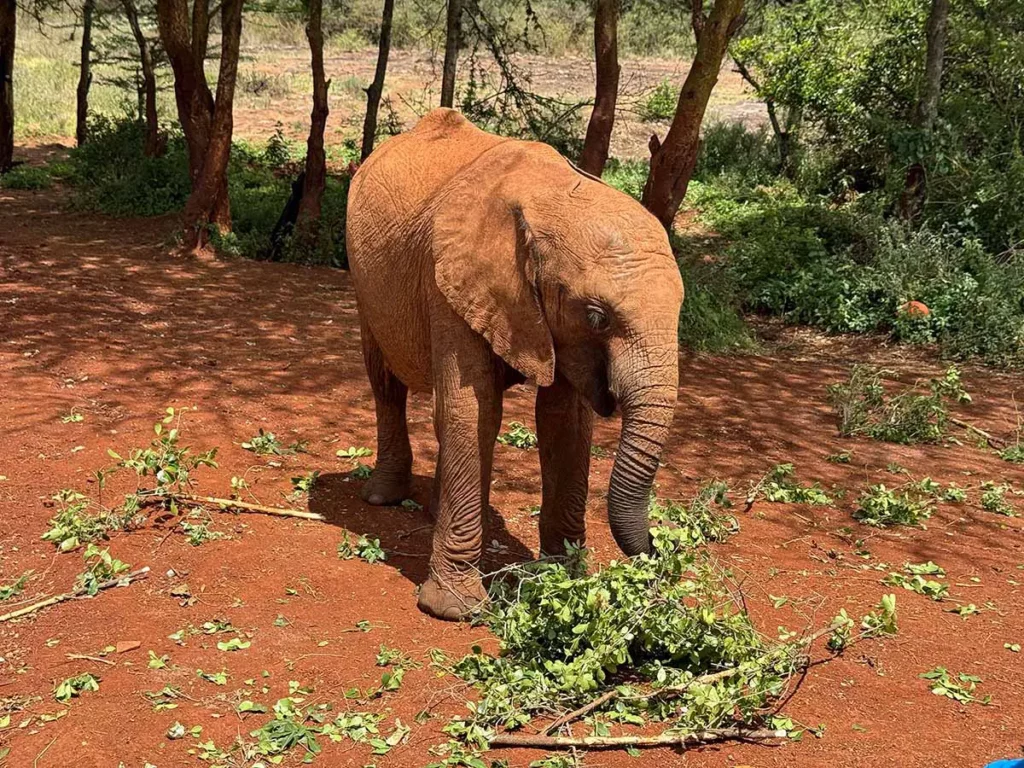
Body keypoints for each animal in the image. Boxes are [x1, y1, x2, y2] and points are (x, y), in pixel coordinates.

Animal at [345, 108, 684, 620]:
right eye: (598, 317)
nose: (665, 546)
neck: (552, 197)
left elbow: (564, 421)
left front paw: (563, 580)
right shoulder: (451, 280)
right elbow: (474, 409)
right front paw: (456, 610)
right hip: (364, 280)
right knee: (386, 381)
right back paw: (385, 497)